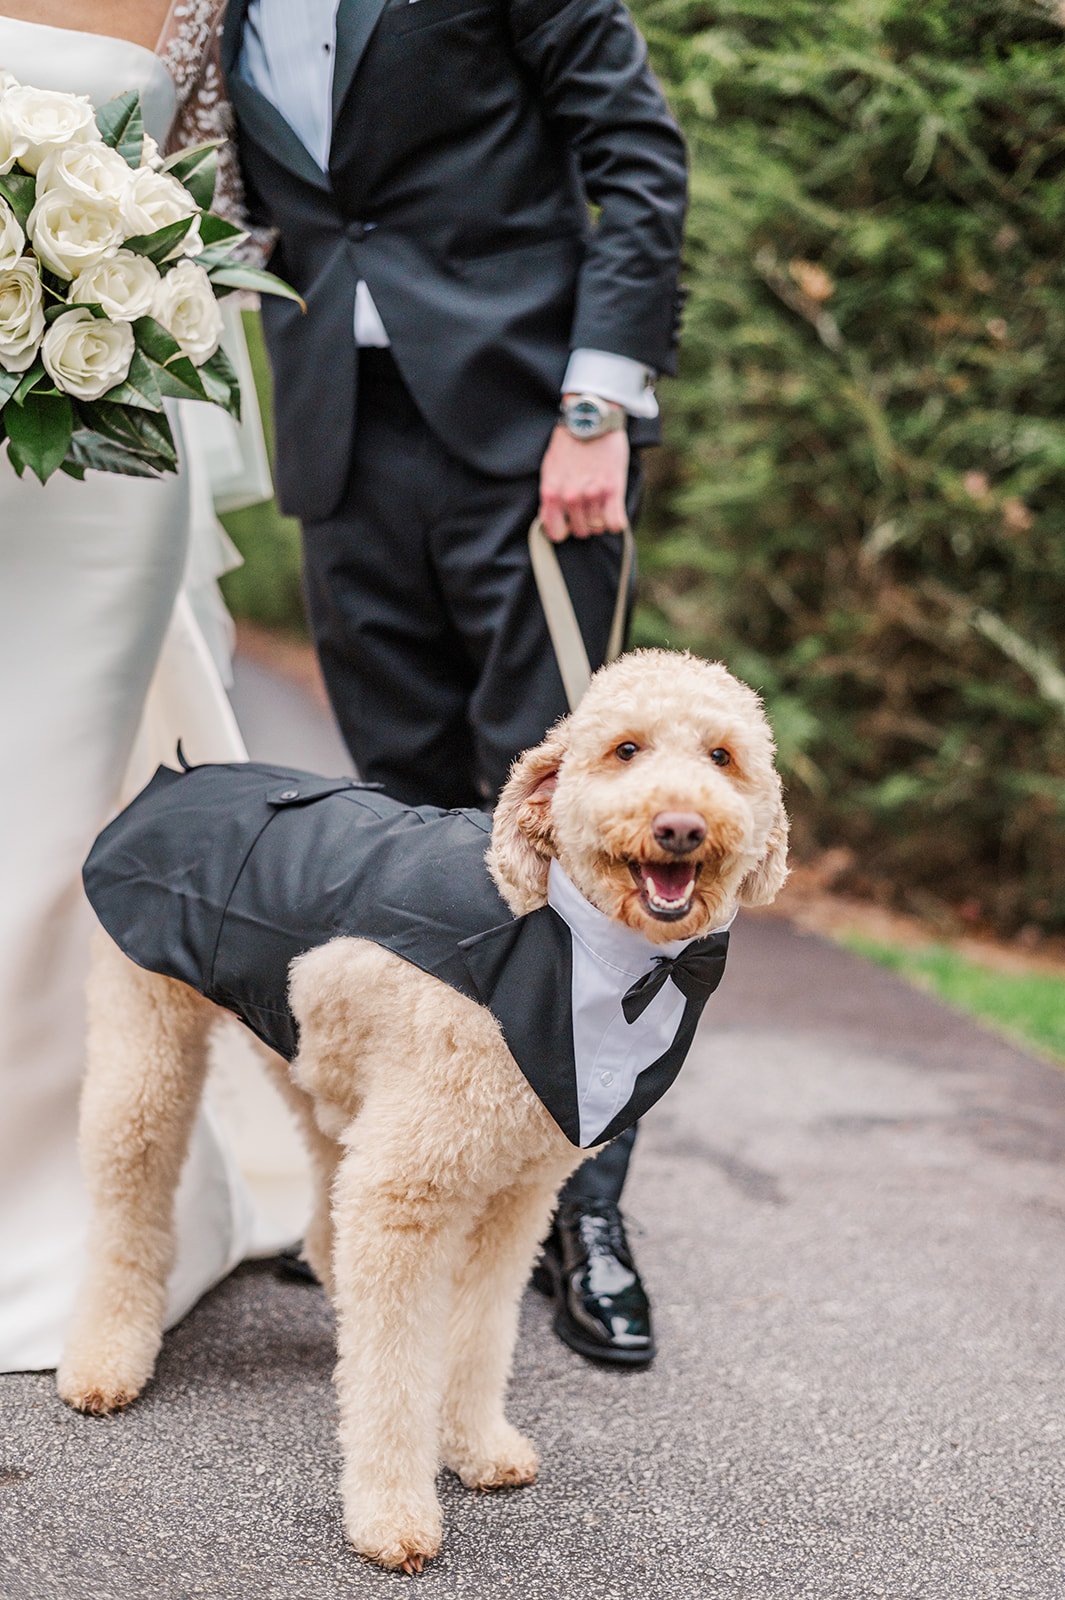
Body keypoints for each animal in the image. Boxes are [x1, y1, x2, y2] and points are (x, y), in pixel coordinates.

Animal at [59, 643, 786, 1568]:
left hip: (309, 1050)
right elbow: (396, 1367)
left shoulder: (516, 1195)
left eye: (722, 758)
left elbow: (477, 1335)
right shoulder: (407, 1192)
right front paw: (390, 1513)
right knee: (131, 1189)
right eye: (624, 750)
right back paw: (106, 1356)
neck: (571, 945)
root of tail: (182, 773)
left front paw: (475, 1445)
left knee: (324, 1184)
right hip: (146, 1044)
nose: (681, 827)